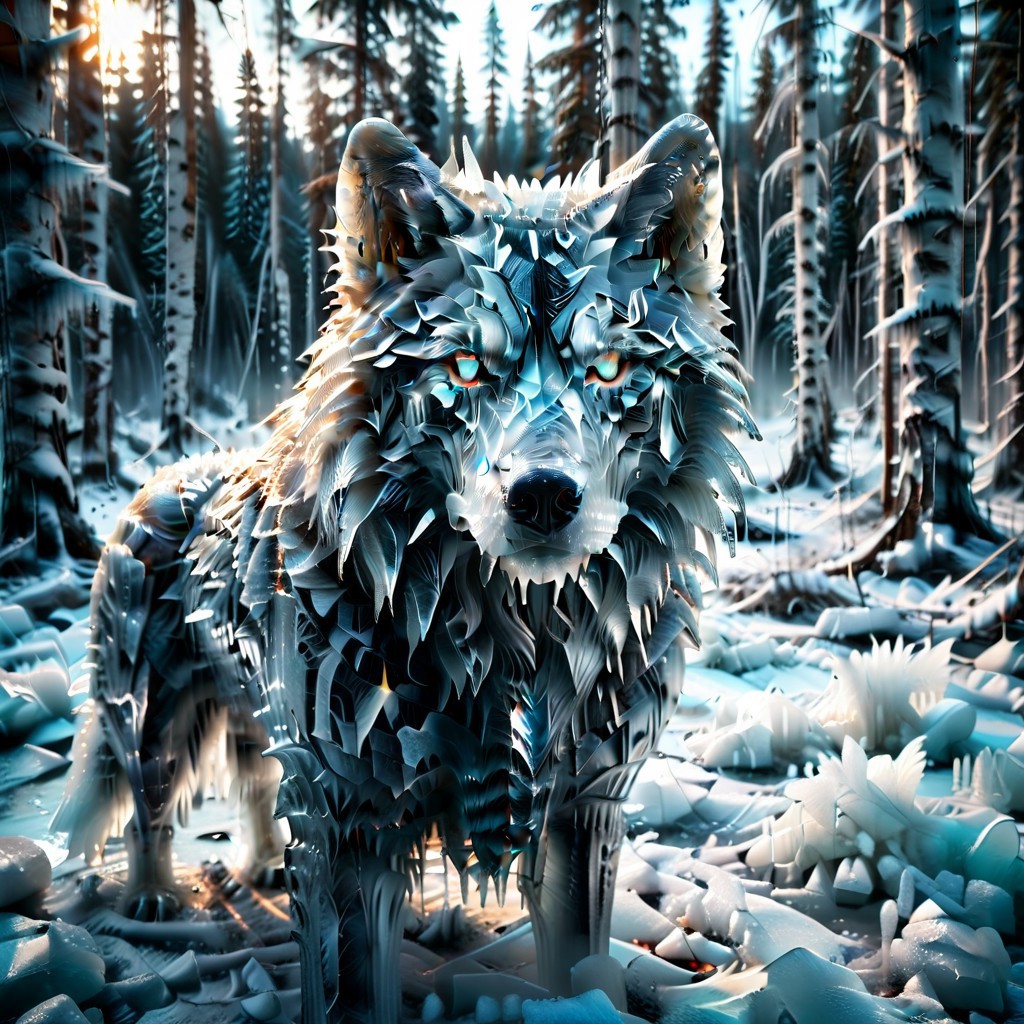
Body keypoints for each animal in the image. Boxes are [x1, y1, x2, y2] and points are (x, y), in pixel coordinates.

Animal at [54, 115, 755, 1023]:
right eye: (465, 369)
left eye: (608, 370)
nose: (541, 496)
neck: (515, 644)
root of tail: (161, 475)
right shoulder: (351, 817)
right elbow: (354, 987)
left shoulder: (583, 808)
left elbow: (577, 964)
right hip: (153, 721)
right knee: (149, 806)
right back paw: (153, 896)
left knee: (254, 788)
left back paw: (264, 865)